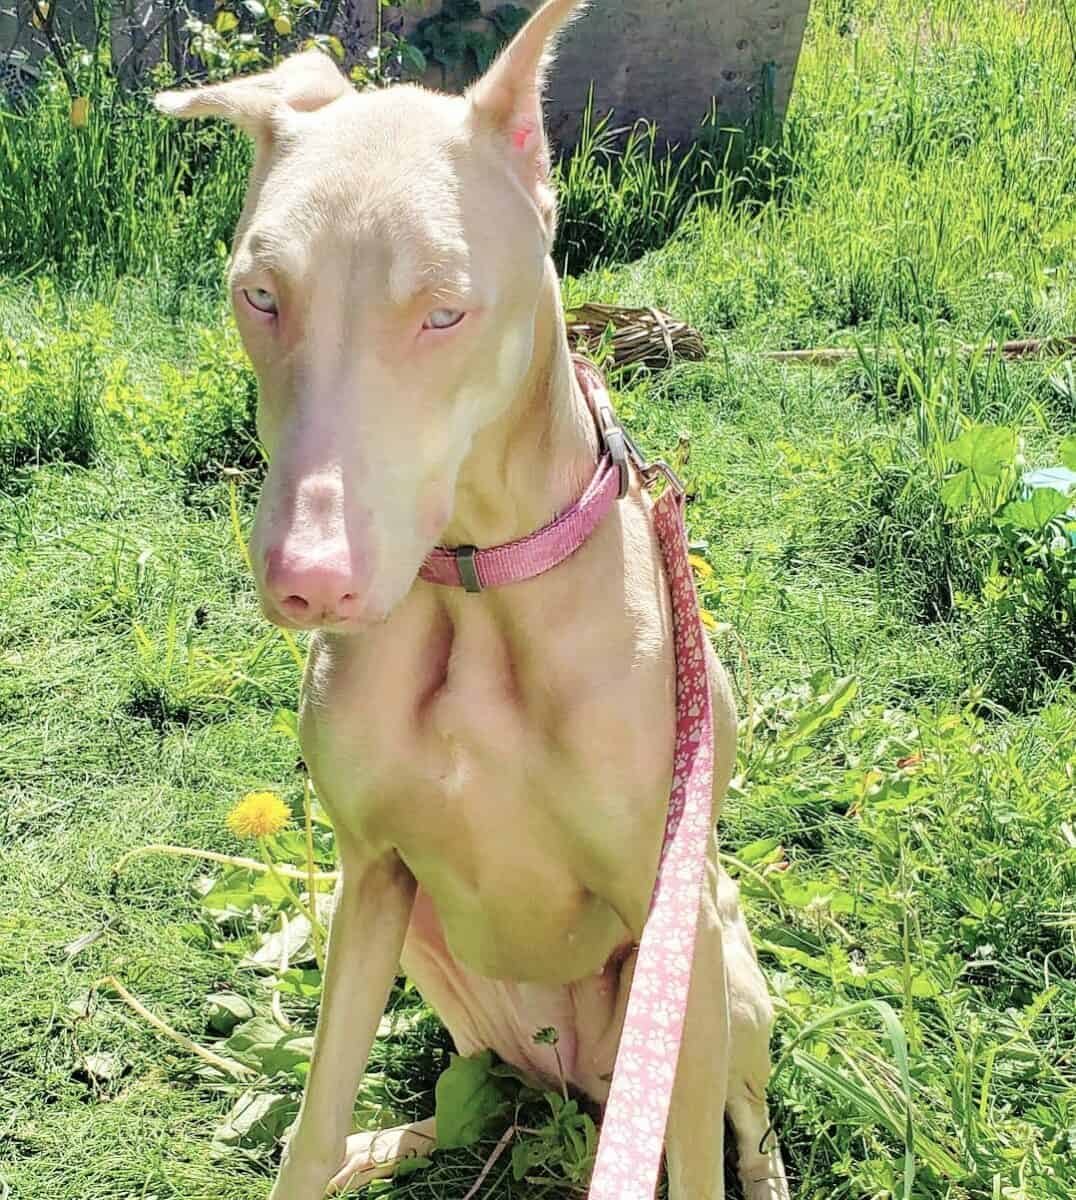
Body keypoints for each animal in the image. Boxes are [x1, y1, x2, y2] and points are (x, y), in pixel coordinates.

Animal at [155, 4, 786, 1195]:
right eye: (259, 294)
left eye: (444, 314)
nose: (308, 580)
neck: (475, 584)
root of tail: (575, 1081)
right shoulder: (370, 872)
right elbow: (309, 1122)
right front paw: (325, 1151)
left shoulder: (668, 918)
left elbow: (689, 1154)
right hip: (417, 946)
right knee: (458, 1095)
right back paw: (390, 1143)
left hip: (721, 964)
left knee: (742, 1118)